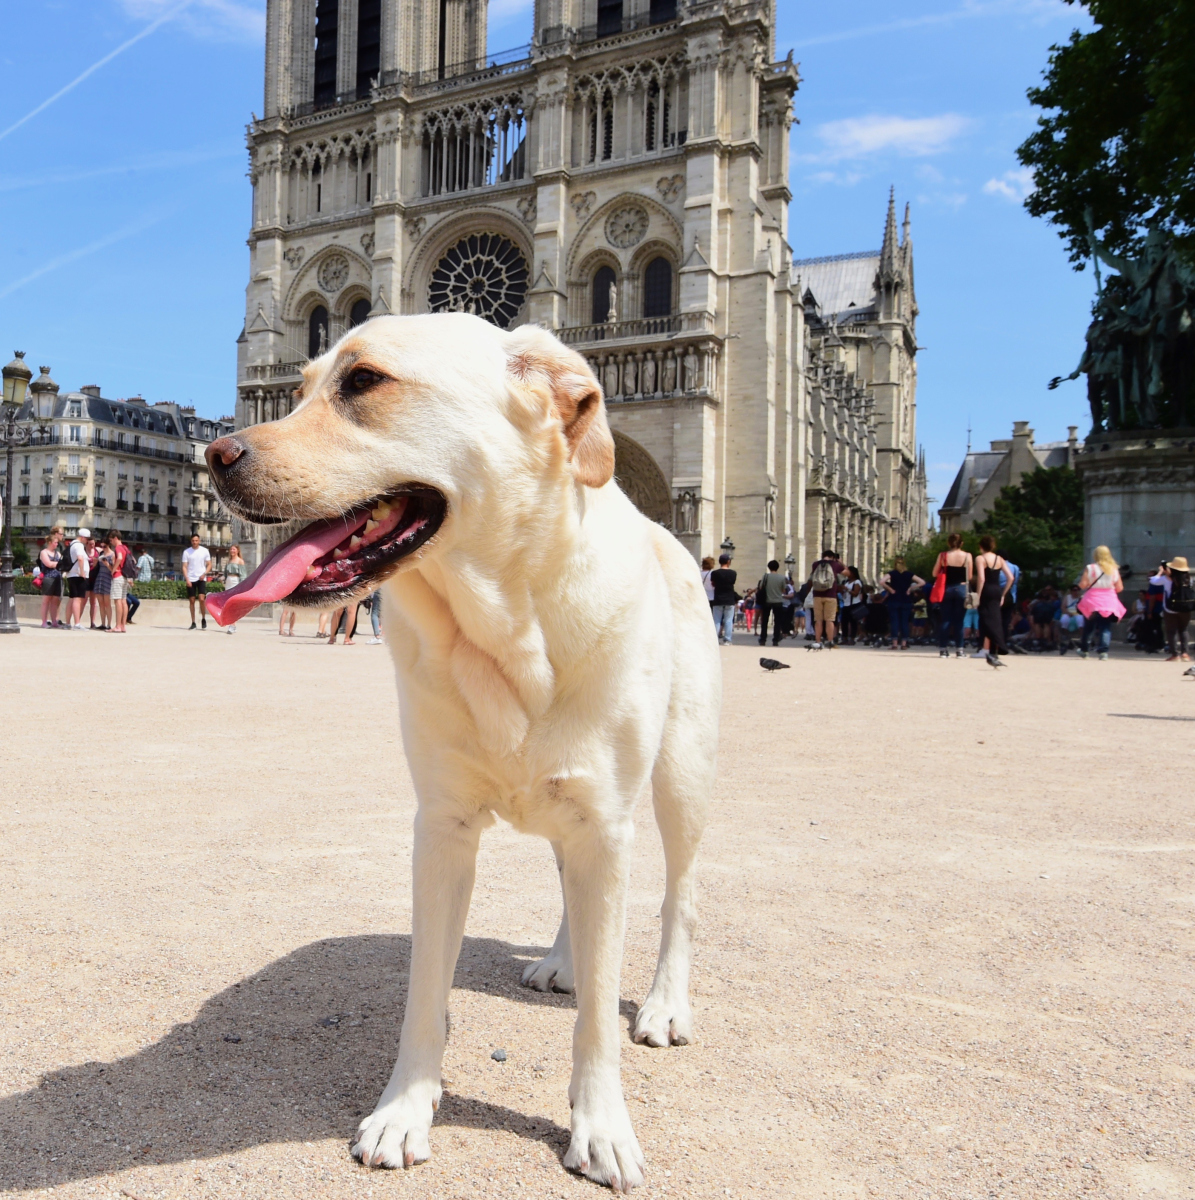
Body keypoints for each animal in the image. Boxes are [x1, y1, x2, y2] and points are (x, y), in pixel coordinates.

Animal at [205, 312, 719, 1190]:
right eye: (298, 387)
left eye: (364, 381)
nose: (212, 455)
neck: (501, 630)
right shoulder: (441, 831)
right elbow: (423, 993)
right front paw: (404, 1109)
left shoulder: (606, 821)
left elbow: (597, 1018)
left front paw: (601, 1126)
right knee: (574, 890)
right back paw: (563, 959)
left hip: (677, 781)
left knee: (674, 899)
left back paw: (662, 1004)